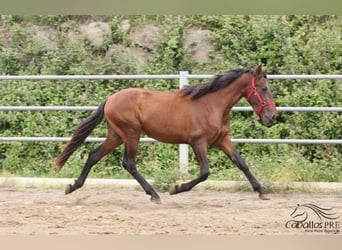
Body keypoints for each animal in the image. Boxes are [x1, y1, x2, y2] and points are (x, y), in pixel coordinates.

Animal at [54, 64, 276, 203]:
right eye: (263, 88)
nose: (273, 117)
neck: (211, 105)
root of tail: (110, 99)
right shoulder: (198, 142)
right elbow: (205, 173)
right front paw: (175, 189)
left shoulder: (222, 140)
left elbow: (242, 164)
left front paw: (262, 192)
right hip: (131, 134)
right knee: (129, 163)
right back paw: (154, 195)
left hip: (116, 136)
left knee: (94, 155)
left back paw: (72, 186)